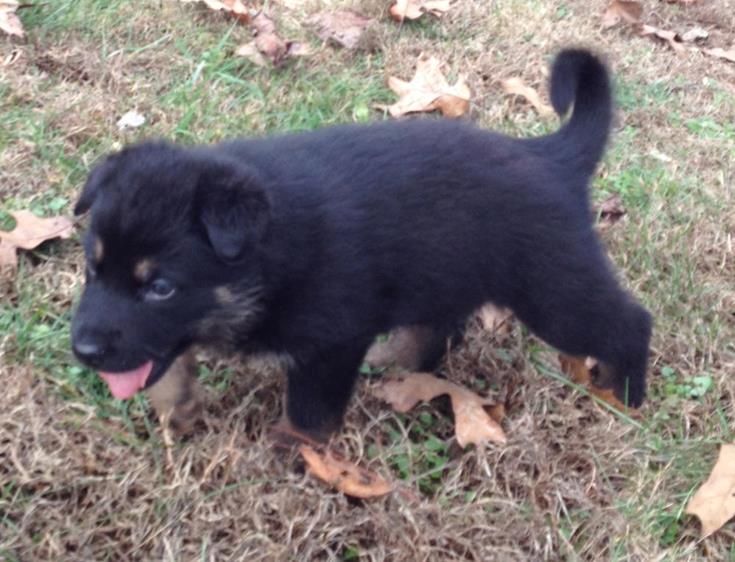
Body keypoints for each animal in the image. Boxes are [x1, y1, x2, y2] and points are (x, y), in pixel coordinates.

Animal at [71, 49, 652, 440]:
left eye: (161, 287)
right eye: (93, 269)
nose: (84, 351)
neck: (270, 252)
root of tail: (553, 155)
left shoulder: (330, 344)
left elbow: (308, 412)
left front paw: (293, 454)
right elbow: (164, 365)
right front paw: (180, 411)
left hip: (553, 290)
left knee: (628, 321)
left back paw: (624, 394)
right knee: (439, 327)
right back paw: (396, 358)